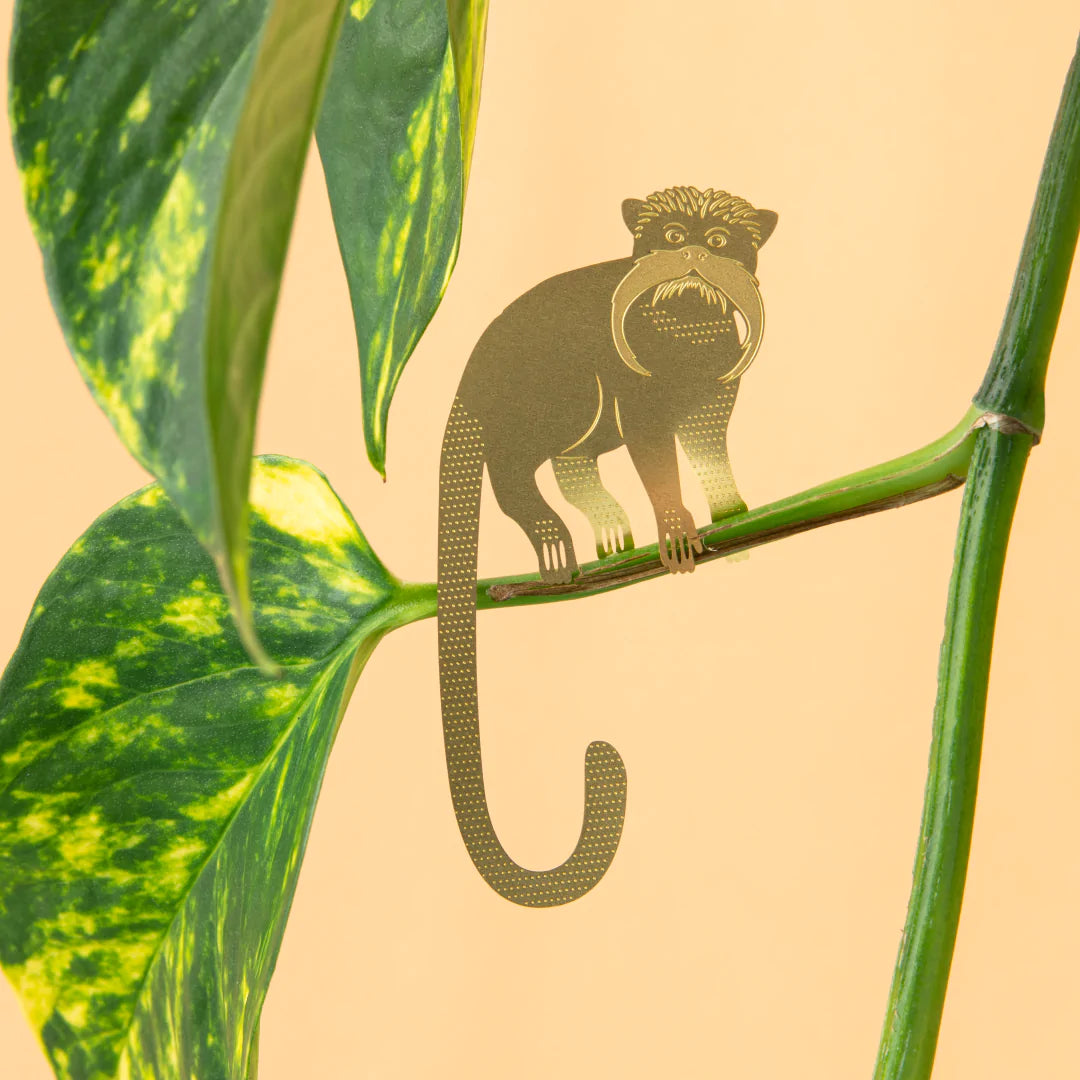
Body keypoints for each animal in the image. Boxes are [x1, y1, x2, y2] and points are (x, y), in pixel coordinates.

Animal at [437, 186, 777, 907]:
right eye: (671, 233)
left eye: (723, 241)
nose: (693, 252)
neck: (687, 339)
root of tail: (467, 386)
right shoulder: (642, 402)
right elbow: (660, 465)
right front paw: (676, 533)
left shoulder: (713, 404)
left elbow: (712, 458)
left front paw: (734, 518)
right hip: (560, 394)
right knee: (514, 472)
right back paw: (554, 541)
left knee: (573, 464)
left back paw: (608, 529)